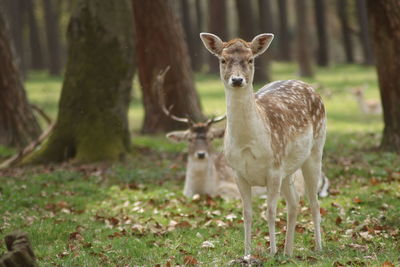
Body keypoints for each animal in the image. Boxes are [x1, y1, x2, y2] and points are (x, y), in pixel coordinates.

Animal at [200, 32, 328, 258]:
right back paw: (288, 252)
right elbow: (247, 213)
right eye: (223, 60)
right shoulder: (238, 173)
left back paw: (318, 248)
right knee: (294, 201)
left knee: (313, 201)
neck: (247, 144)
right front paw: (247, 254)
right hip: (288, 169)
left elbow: (270, 211)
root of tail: (309, 86)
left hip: (315, 150)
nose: (237, 79)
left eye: (250, 59)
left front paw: (271, 252)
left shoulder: (273, 169)